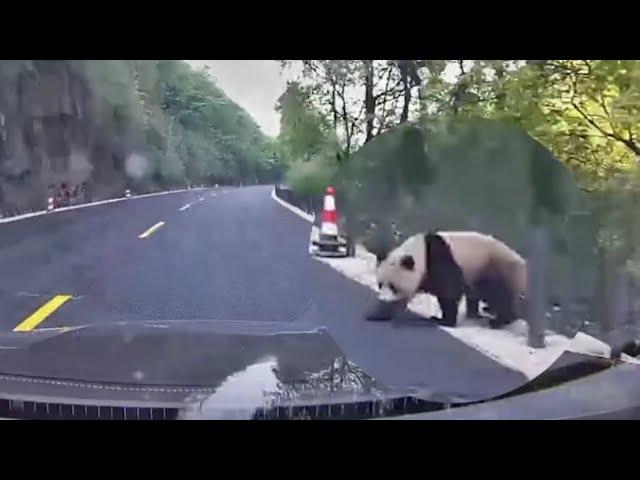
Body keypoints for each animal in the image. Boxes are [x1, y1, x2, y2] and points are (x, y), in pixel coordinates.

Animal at [372, 231, 528, 328]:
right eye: (380, 284)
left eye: (393, 286)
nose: (383, 299)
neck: (421, 252)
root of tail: (522, 264)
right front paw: (378, 314)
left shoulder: (440, 261)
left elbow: (449, 292)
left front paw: (444, 321)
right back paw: (479, 313)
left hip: (497, 269)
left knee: (500, 296)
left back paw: (499, 321)